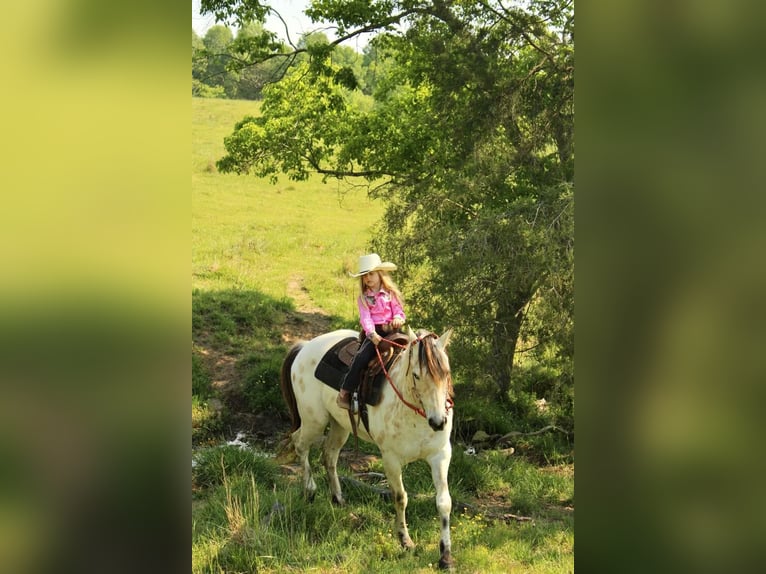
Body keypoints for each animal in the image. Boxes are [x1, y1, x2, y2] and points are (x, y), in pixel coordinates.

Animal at [284, 328, 460, 572]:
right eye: (416, 375)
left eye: (446, 373)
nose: (438, 422)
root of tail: (305, 346)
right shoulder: (391, 459)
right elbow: (400, 497)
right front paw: (405, 540)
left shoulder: (440, 455)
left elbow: (444, 503)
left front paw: (446, 557)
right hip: (314, 421)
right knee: (300, 444)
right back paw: (309, 491)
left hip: (340, 426)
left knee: (329, 456)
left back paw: (338, 498)